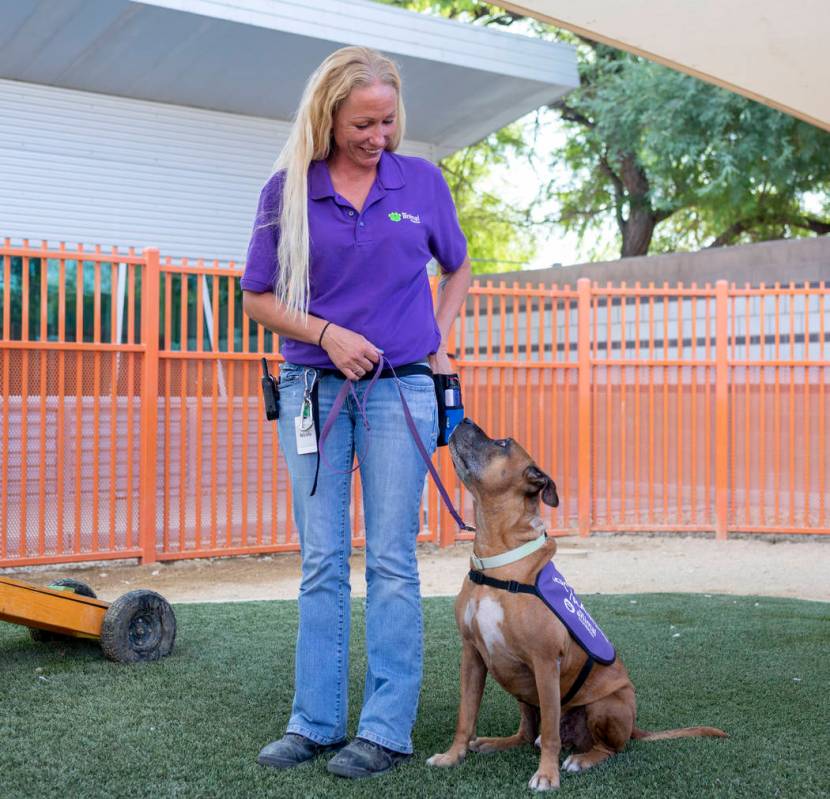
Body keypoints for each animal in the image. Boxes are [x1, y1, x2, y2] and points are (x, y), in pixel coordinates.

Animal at [428, 418, 728, 792]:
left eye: (503, 442)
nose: (465, 419)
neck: (497, 560)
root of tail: (634, 726)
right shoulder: (472, 656)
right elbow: (465, 715)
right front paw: (452, 756)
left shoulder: (545, 662)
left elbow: (551, 734)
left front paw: (546, 774)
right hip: (522, 690)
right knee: (528, 733)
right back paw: (497, 742)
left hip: (606, 705)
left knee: (604, 747)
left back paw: (582, 759)